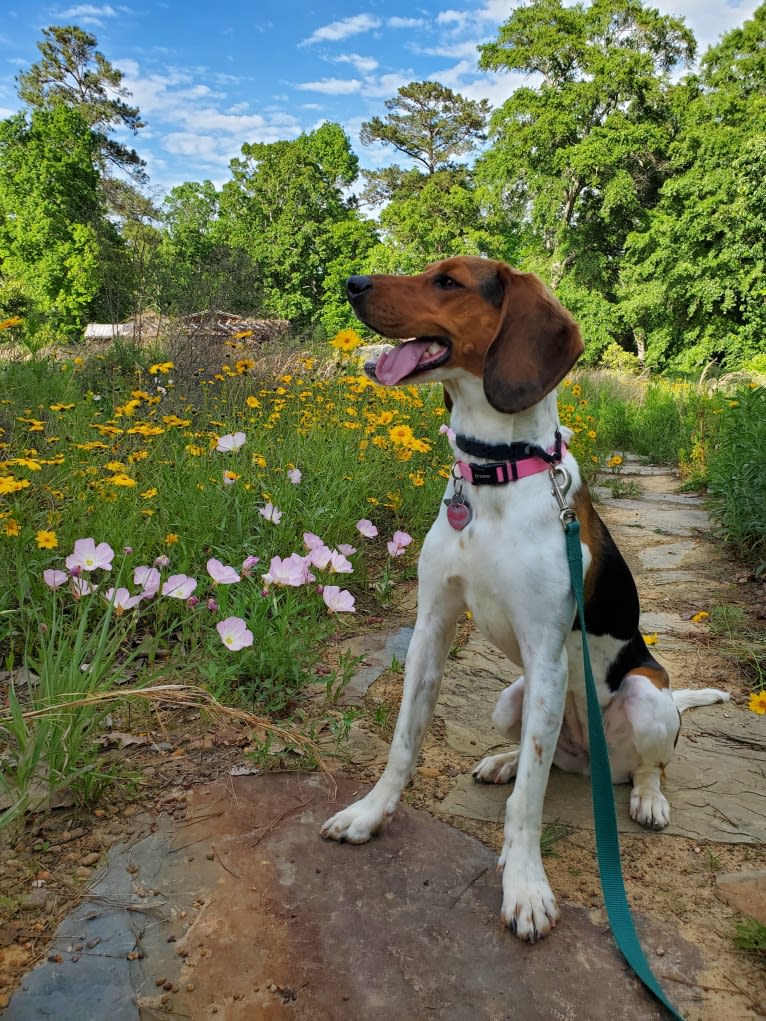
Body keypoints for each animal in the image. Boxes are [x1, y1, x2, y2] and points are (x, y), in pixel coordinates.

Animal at [320, 257, 727, 939]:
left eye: (449, 282)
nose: (353, 284)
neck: (494, 475)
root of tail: (595, 764)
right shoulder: (430, 629)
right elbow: (404, 742)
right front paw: (371, 813)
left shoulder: (547, 656)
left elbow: (529, 801)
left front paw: (525, 884)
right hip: (509, 701)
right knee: (546, 754)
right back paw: (504, 761)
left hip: (645, 697)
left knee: (646, 763)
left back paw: (646, 797)